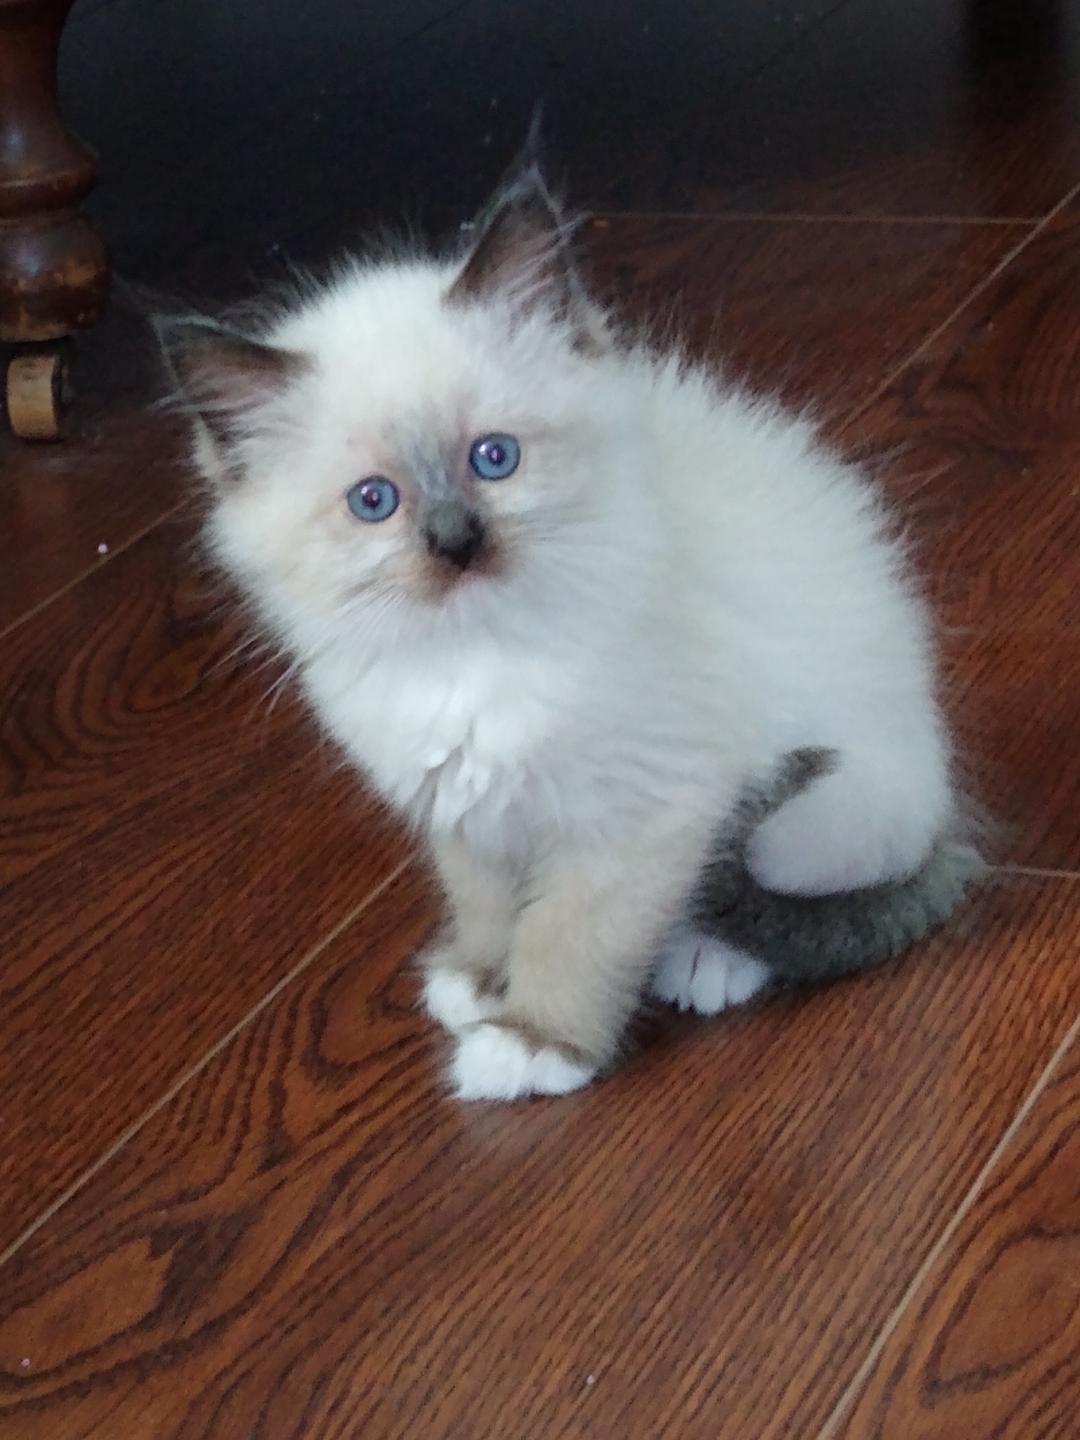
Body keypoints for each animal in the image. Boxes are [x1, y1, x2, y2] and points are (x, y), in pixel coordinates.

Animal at [164, 149, 984, 1100]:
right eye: (375, 502)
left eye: (494, 458)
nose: (456, 544)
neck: (472, 656)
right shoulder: (461, 809)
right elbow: (487, 906)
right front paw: (482, 983)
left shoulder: (642, 813)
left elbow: (574, 935)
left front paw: (533, 1042)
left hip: (824, 816)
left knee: (782, 892)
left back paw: (706, 961)